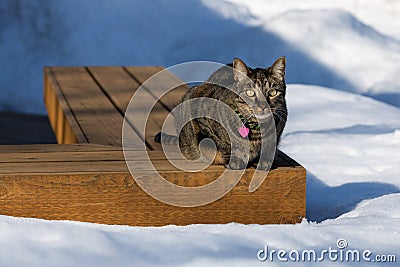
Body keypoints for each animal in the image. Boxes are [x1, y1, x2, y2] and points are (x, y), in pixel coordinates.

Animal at [155, 57, 290, 171]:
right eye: (250, 93)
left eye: (273, 92)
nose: (263, 106)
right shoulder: (201, 118)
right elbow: (223, 145)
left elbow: (269, 147)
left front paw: (263, 161)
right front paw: (234, 160)